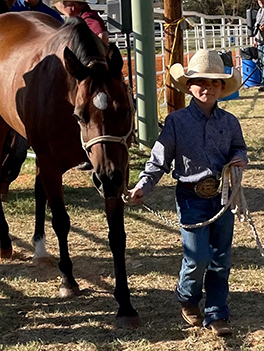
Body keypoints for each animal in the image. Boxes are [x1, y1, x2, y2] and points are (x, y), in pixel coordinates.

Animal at [0, 11, 139, 330]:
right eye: (80, 115)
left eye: (125, 110)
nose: (107, 177)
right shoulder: (52, 166)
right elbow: (61, 221)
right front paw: (68, 280)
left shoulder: (116, 172)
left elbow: (117, 235)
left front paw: (125, 303)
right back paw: (4, 242)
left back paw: (39, 249)